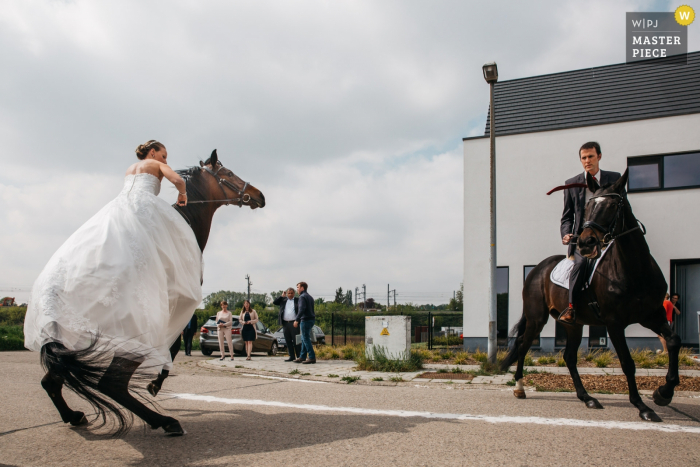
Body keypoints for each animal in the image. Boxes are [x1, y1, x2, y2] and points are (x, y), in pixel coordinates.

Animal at [40, 150, 266, 436]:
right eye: (228, 173)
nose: (260, 195)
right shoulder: (176, 307)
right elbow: (173, 347)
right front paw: (155, 384)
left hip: (69, 340)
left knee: (53, 378)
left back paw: (73, 415)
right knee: (110, 384)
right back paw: (165, 421)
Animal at [500, 170, 680, 422]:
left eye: (613, 205)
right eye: (588, 206)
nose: (586, 242)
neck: (635, 269)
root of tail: (537, 269)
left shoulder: (653, 315)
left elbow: (673, 341)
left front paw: (663, 393)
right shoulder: (614, 323)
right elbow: (627, 363)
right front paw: (642, 406)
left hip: (573, 324)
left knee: (568, 356)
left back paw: (587, 398)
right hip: (537, 318)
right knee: (523, 344)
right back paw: (519, 387)